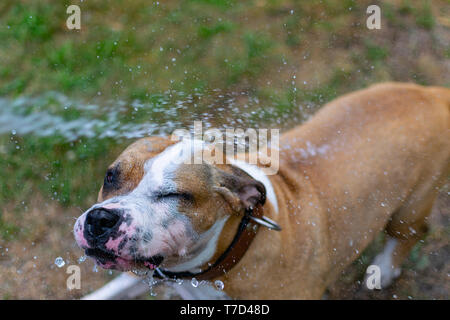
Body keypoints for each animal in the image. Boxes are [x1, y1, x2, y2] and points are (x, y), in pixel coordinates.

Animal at [72, 83, 448, 300]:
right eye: (110, 176)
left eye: (173, 196)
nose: (100, 219)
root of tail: (432, 94)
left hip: (410, 206)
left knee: (411, 232)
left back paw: (382, 269)